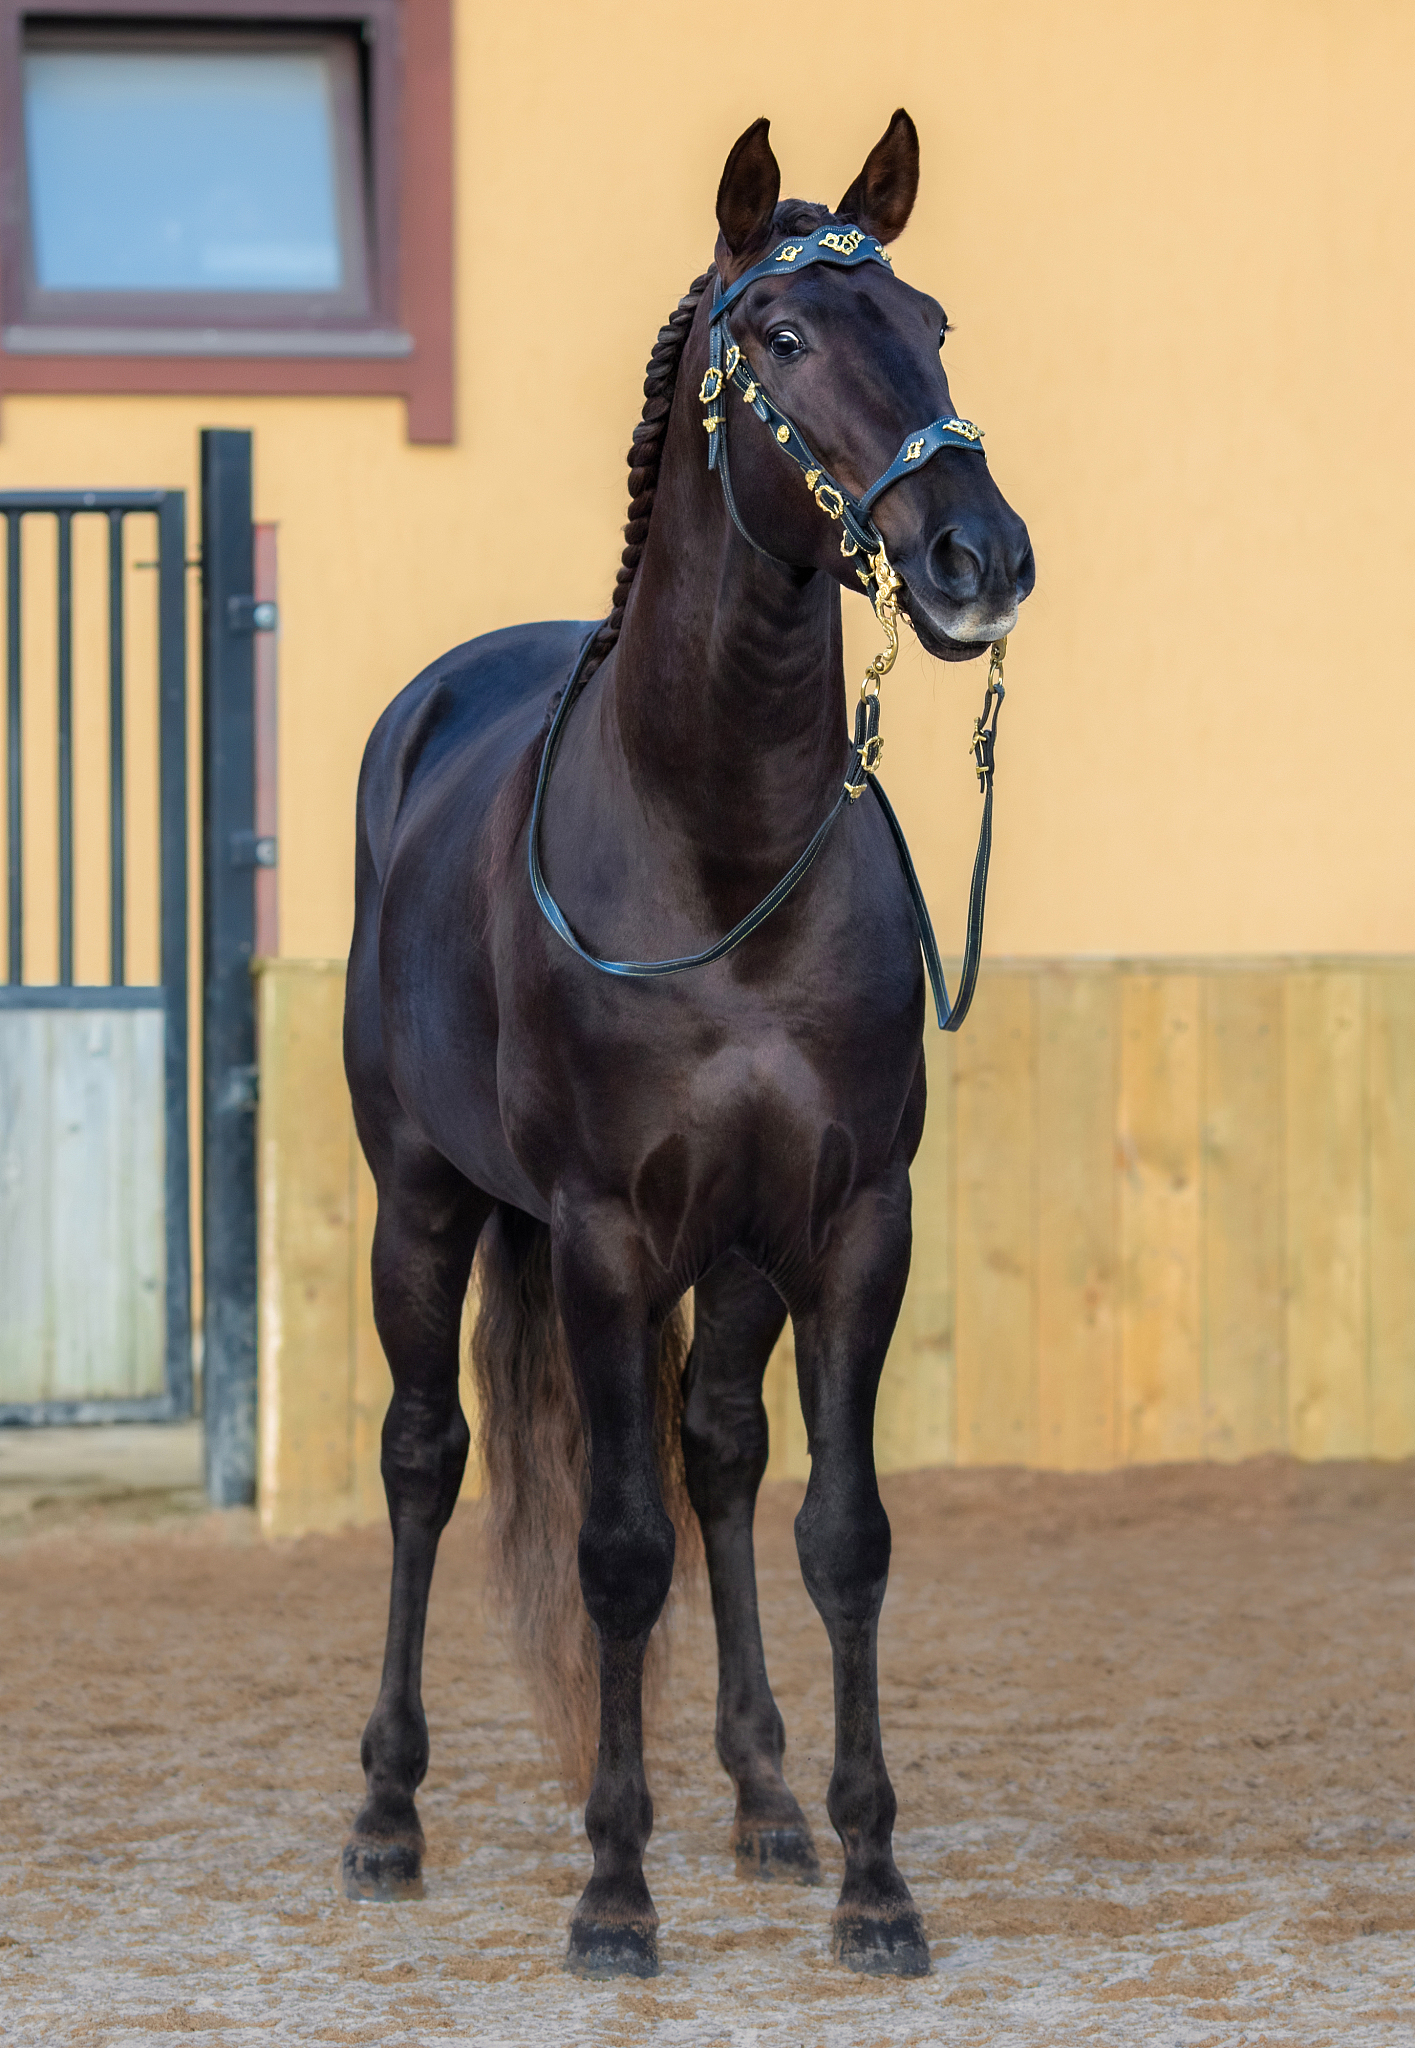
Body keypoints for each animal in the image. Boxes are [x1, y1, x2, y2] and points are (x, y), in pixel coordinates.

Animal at [340, 108, 1034, 1979]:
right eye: (779, 336)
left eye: (935, 323)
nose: (980, 559)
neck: (714, 846)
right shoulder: (598, 1234)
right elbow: (616, 1547)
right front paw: (610, 1894)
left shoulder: (850, 1220)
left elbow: (837, 1533)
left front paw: (872, 1882)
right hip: (423, 1205)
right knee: (425, 1462)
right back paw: (386, 1817)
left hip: (731, 1253)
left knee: (721, 1454)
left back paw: (766, 1802)